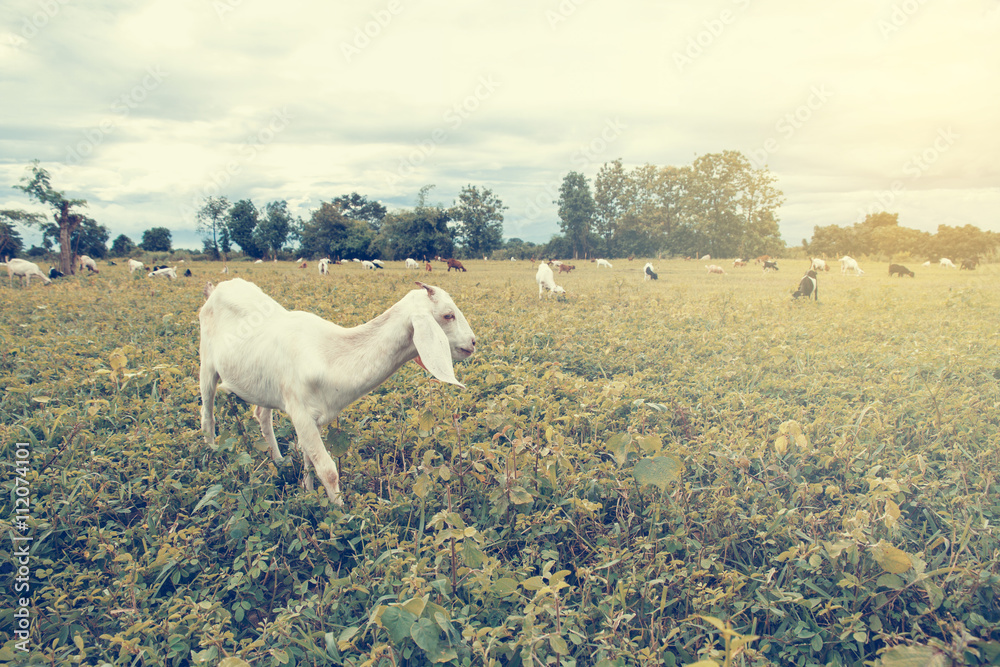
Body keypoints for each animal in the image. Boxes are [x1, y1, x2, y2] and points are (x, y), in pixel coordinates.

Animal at [199, 279, 475, 505]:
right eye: (448, 315)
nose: (473, 342)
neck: (328, 355)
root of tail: (216, 289)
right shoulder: (300, 413)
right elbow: (327, 469)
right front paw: (340, 516)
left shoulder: (313, 419)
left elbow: (308, 460)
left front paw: (308, 494)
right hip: (206, 364)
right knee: (207, 415)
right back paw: (214, 455)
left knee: (261, 415)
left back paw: (278, 462)